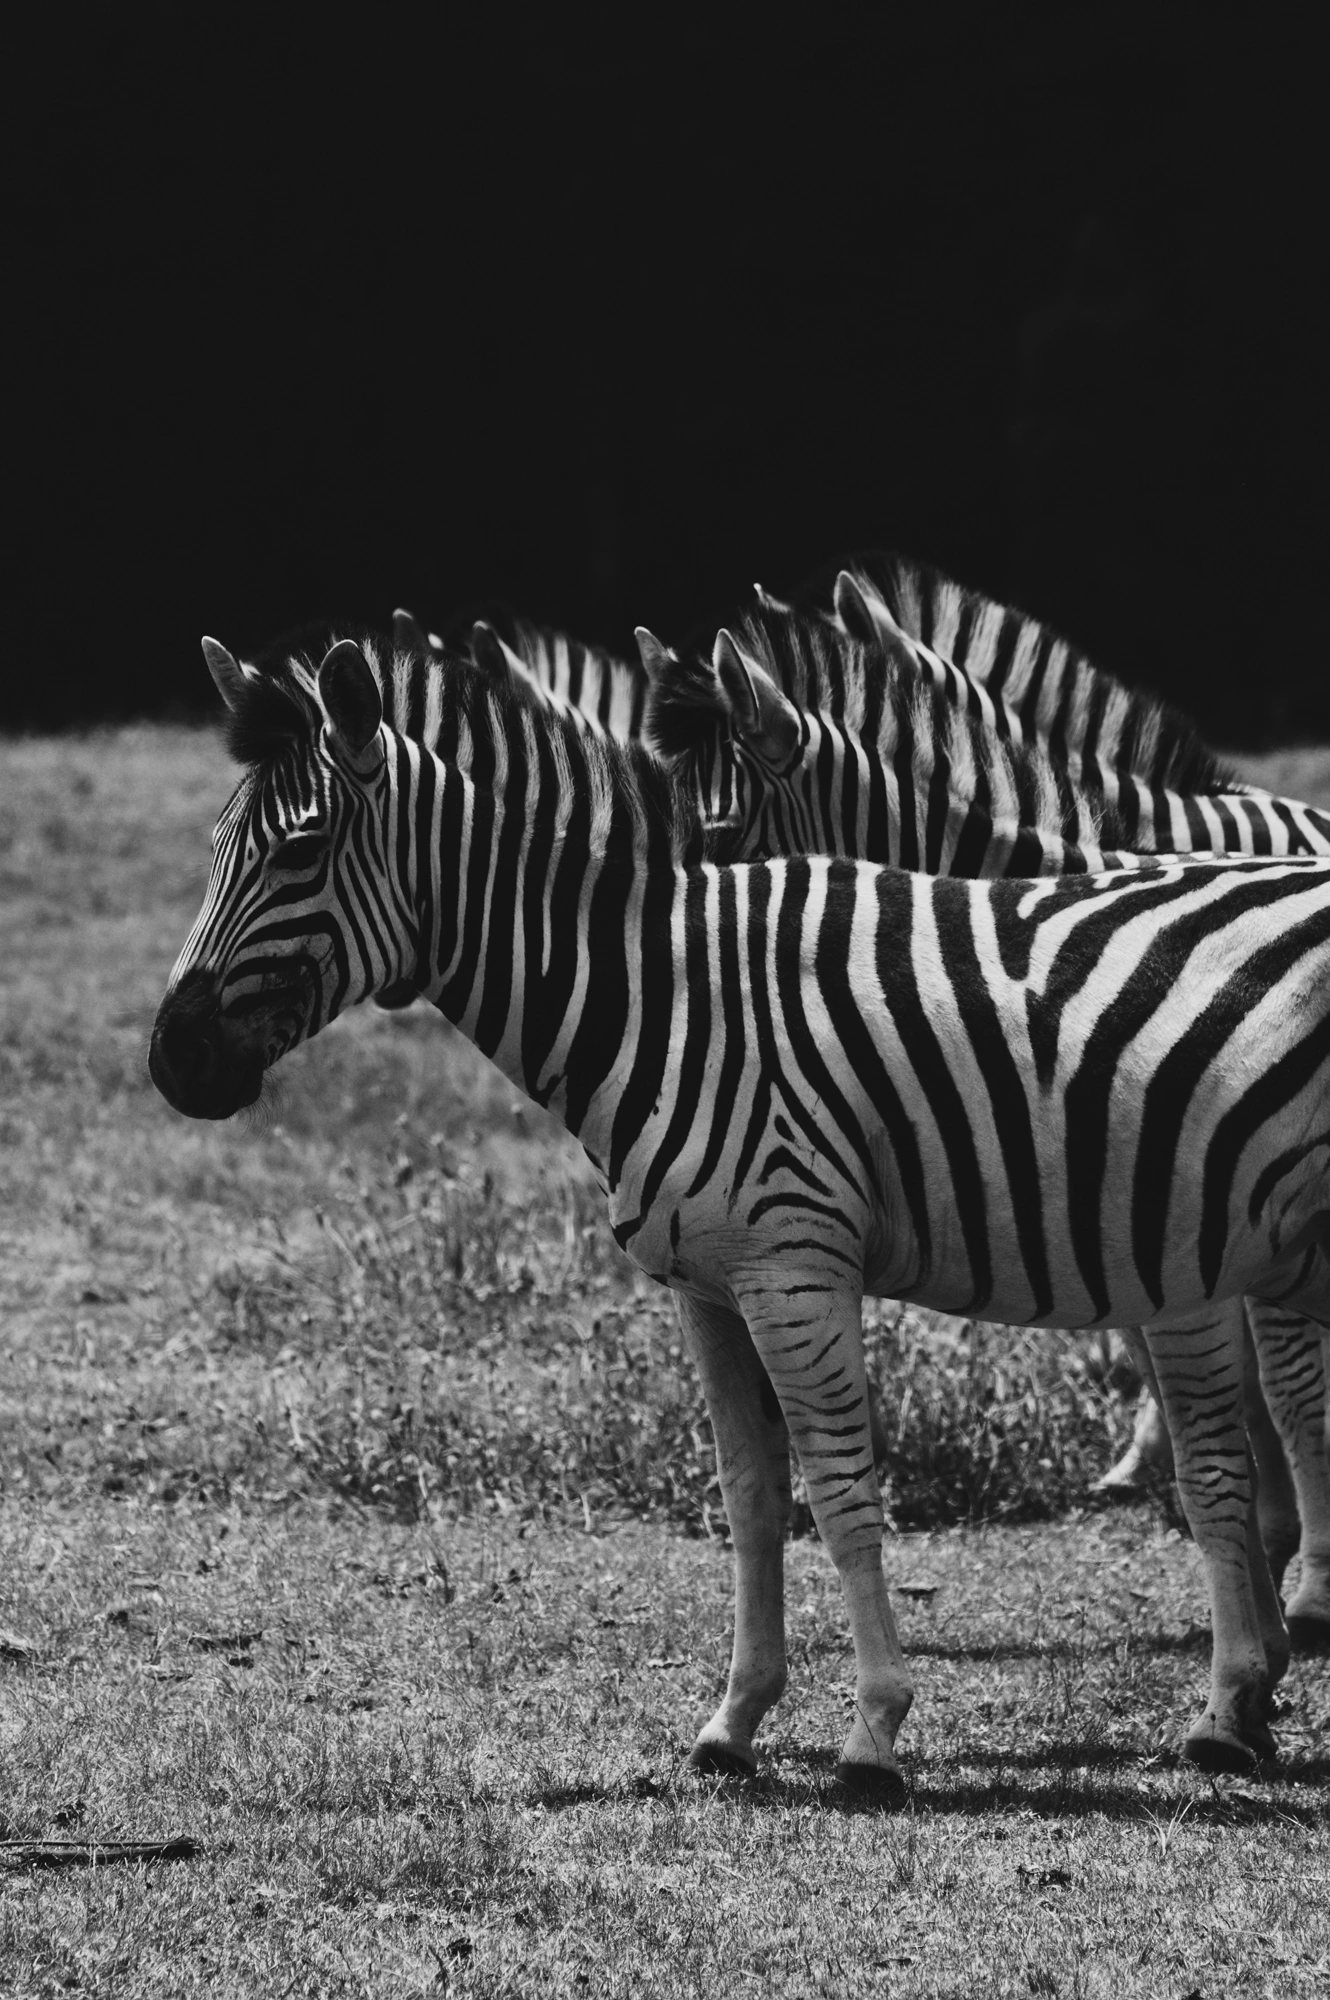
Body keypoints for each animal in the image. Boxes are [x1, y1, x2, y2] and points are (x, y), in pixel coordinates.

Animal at [150, 632, 1330, 1788]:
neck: (669, 1002)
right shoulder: (708, 1283)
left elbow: (842, 1489)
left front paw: (873, 1728)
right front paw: (734, 1721)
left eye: (297, 852)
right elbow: (750, 1495)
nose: (171, 1062)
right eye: (213, 847)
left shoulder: (792, 1268)